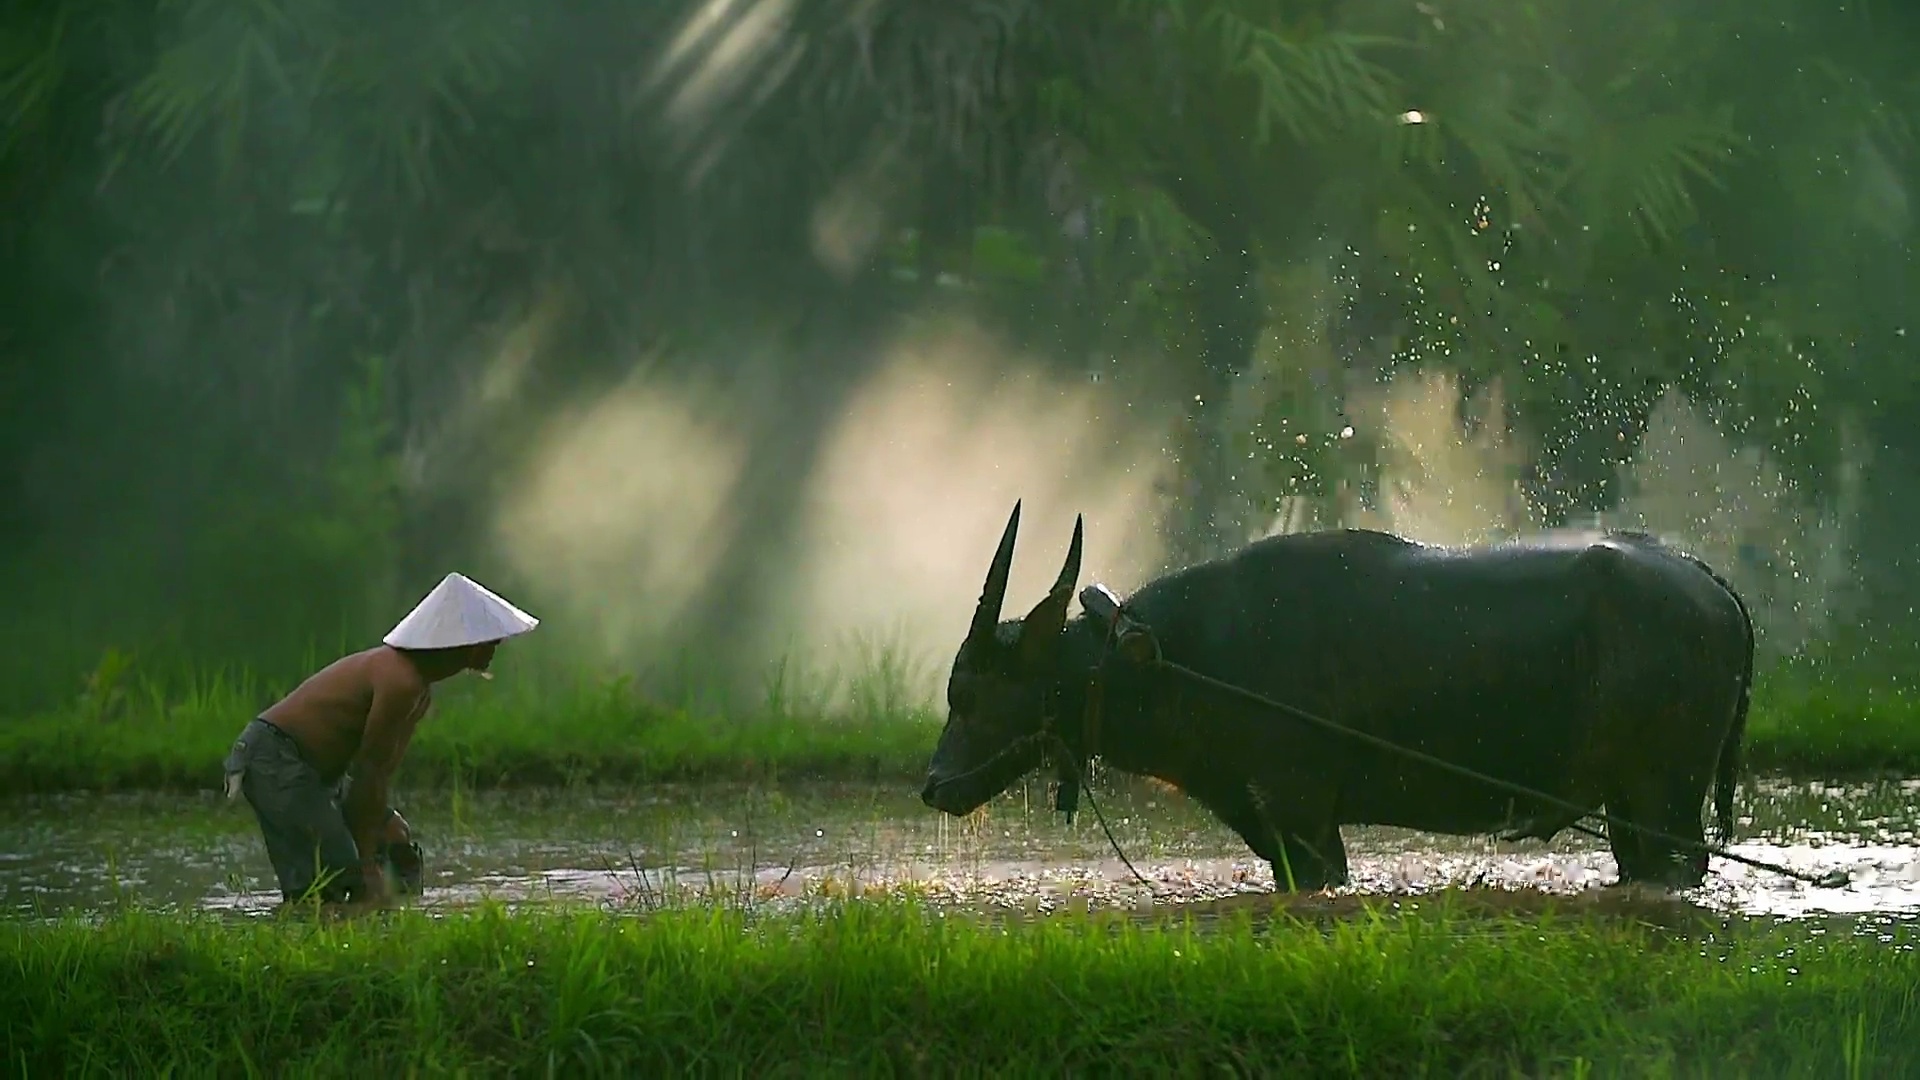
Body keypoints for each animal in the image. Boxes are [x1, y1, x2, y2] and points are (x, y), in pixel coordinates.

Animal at [917, 499, 1758, 887]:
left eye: (971, 693)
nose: (933, 784)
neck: (1178, 654)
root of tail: (1711, 586)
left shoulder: (1302, 818)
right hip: (1627, 805)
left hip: (1665, 797)